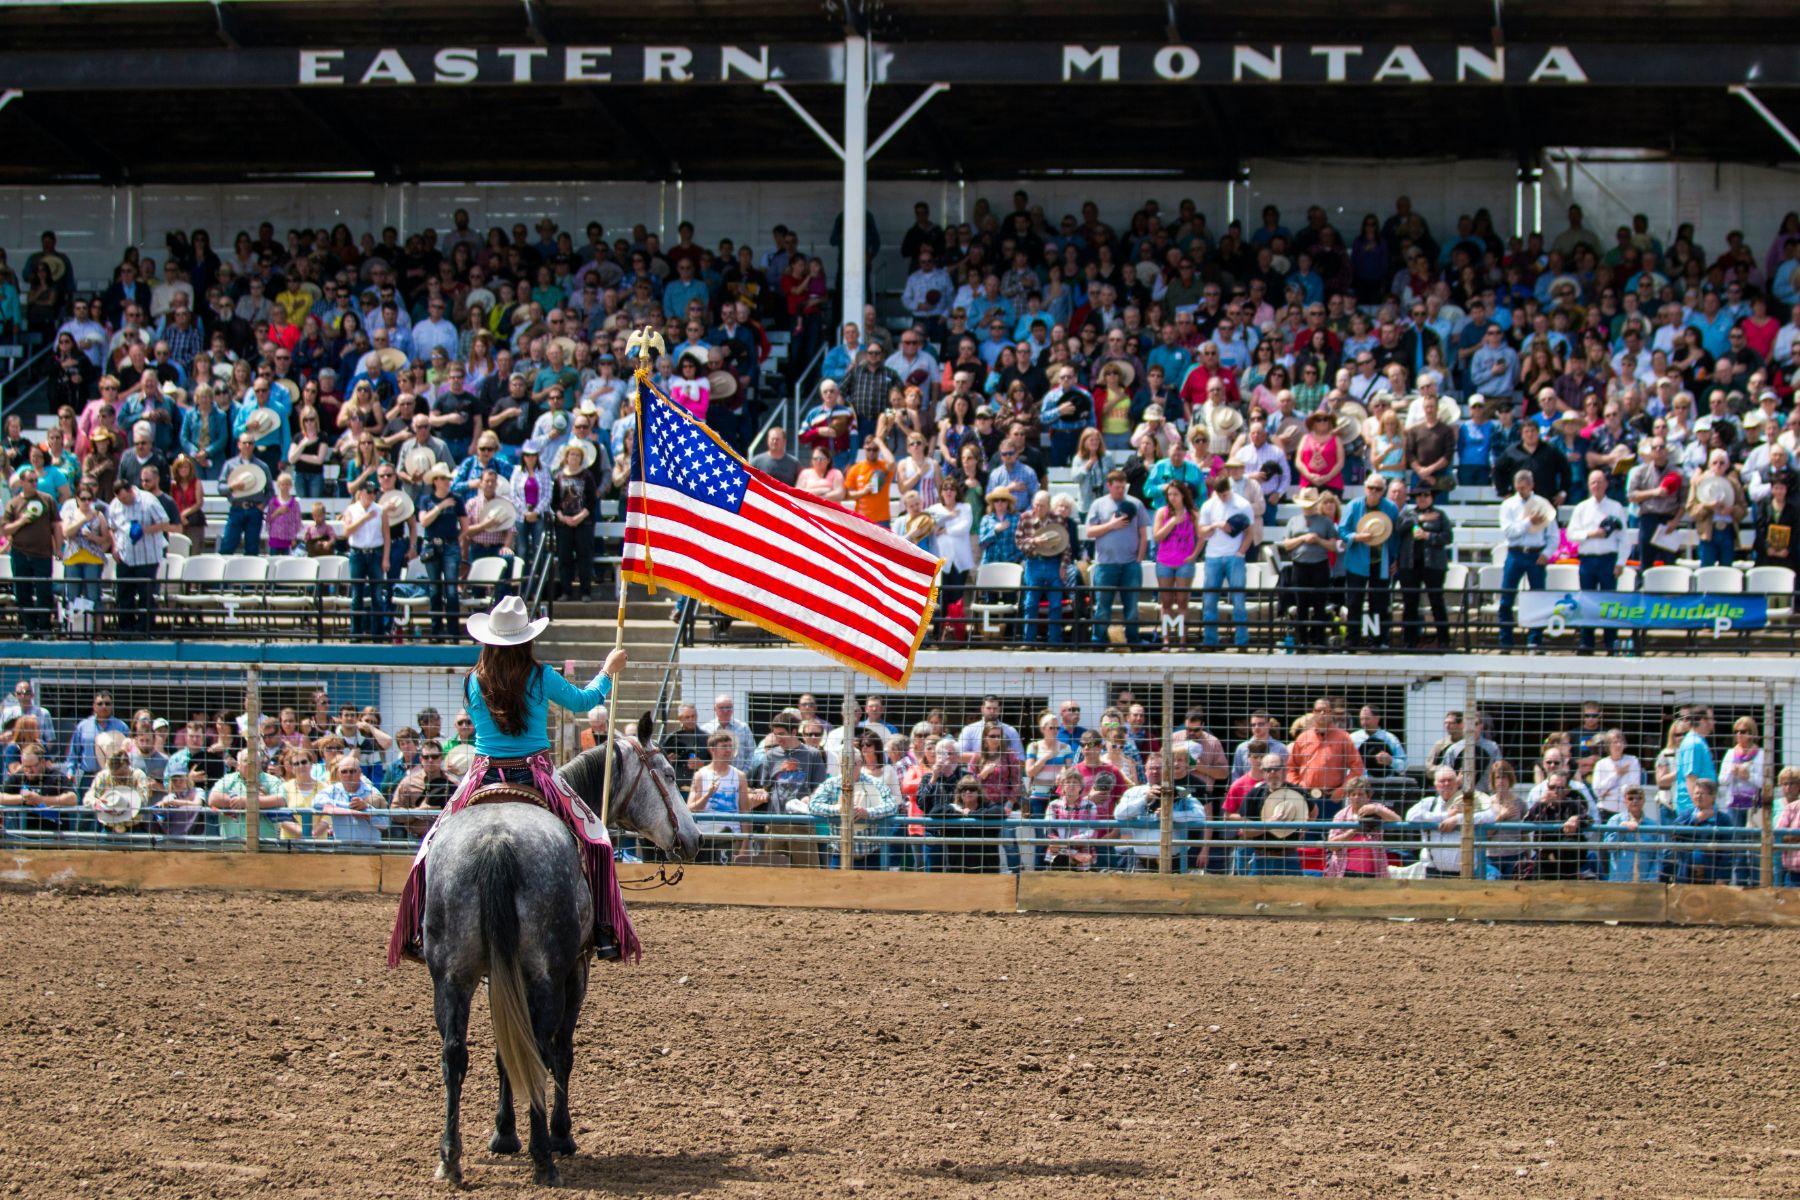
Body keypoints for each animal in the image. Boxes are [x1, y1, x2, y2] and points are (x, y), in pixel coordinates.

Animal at [424, 719, 698, 1187]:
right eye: (666, 773)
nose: (695, 839)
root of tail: (496, 840)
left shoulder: (498, 974)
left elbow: (504, 1050)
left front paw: (503, 1134)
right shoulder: (575, 971)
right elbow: (561, 1052)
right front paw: (560, 1135)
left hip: (451, 975)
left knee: (454, 1054)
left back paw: (450, 1159)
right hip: (546, 974)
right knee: (539, 1046)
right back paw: (544, 1157)